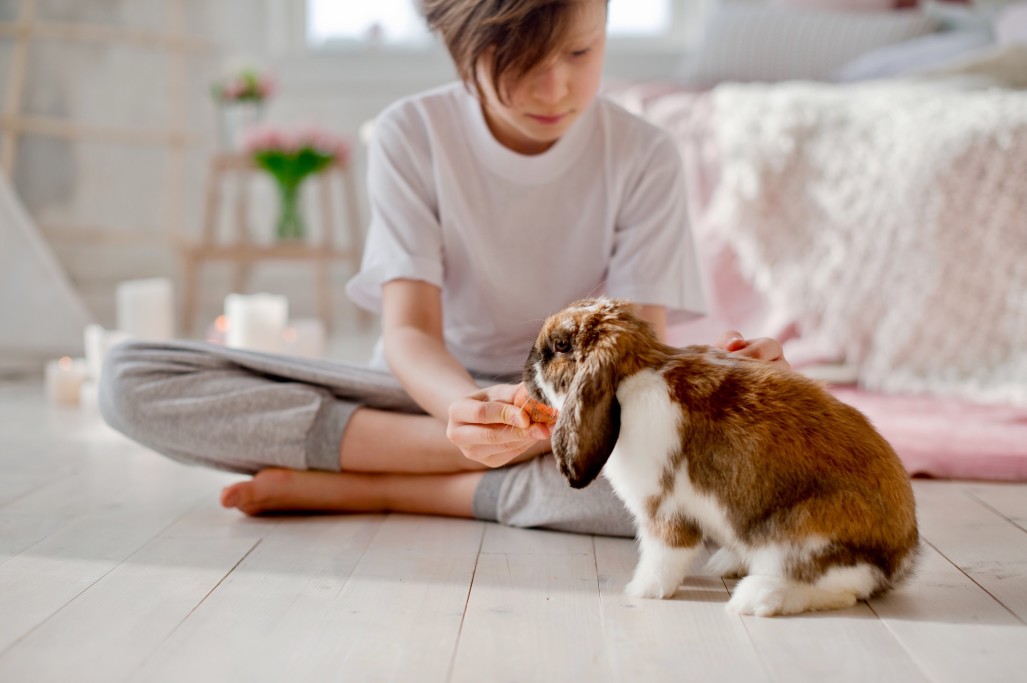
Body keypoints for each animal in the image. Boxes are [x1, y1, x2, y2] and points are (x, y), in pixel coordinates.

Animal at [525, 295, 920, 616]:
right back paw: (727, 565)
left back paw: (755, 598)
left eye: (561, 345)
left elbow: (663, 555)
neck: (633, 377)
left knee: (841, 588)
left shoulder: (663, 509)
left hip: (801, 532)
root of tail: (901, 556)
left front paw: (641, 590)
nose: (528, 366)